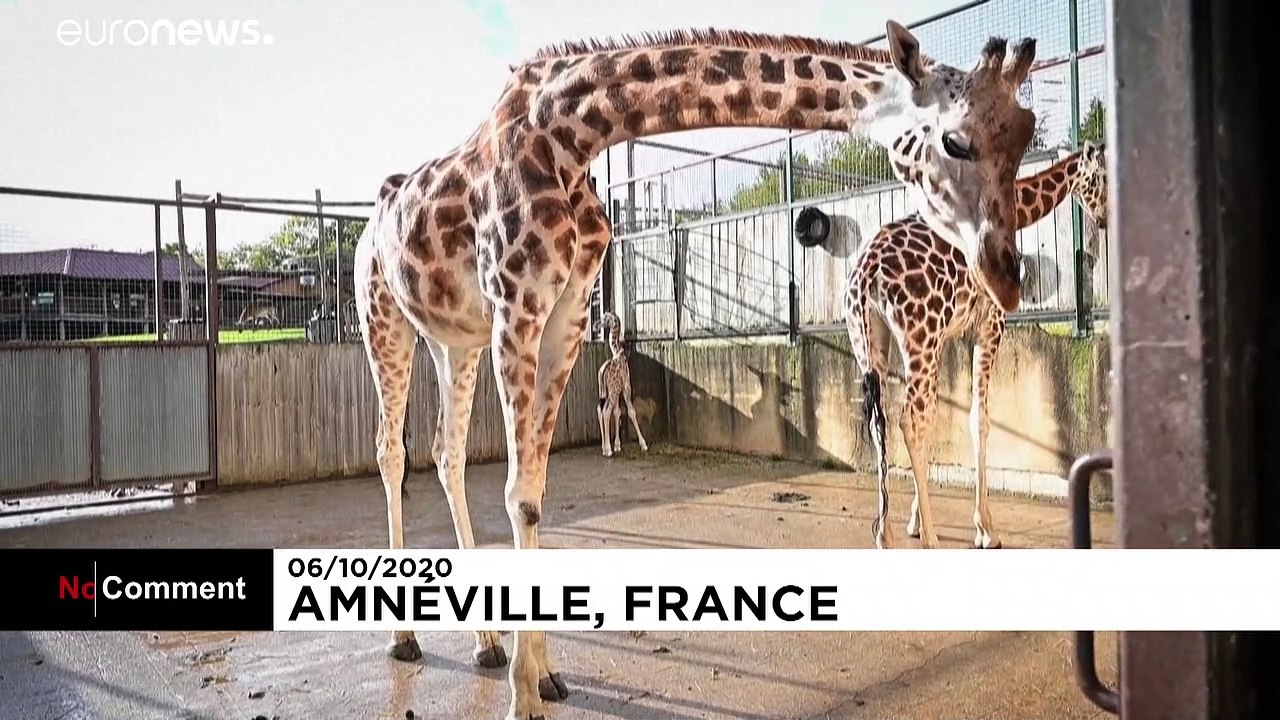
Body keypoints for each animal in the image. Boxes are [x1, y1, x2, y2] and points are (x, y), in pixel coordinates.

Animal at [596, 311, 647, 457]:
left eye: (605, 318)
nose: (596, 325)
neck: (618, 352)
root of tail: (602, 372)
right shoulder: (626, 386)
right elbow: (631, 411)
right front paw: (643, 444)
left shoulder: (617, 390)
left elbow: (617, 412)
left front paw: (618, 445)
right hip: (612, 393)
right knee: (606, 411)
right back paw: (608, 450)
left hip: (605, 393)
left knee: (600, 409)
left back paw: (604, 448)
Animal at [844, 140, 1109, 551]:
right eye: (1103, 177)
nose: (1105, 217)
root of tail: (866, 275)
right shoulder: (990, 321)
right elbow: (977, 418)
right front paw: (986, 529)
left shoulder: (949, 334)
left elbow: (940, 417)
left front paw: (914, 521)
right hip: (918, 338)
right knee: (908, 419)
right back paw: (931, 540)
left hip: (873, 342)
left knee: (880, 420)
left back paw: (884, 532)